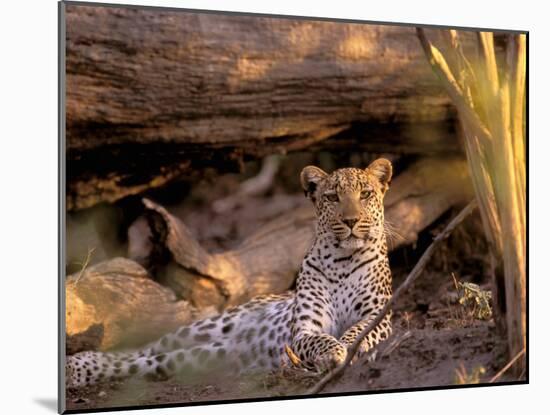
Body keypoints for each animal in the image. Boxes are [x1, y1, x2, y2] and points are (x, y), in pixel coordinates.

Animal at [67, 159, 396, 390]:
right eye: (331, 198)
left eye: (366, 194)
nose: (351, 221)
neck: (342, 260)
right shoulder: (304, 328)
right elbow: (320, 340)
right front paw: (335, 352)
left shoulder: (379, 316)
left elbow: (359, 331)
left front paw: (347, 349)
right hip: (201, 329)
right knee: (141, 349)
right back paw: (77, 365)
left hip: (199, 356)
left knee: (143, 362)